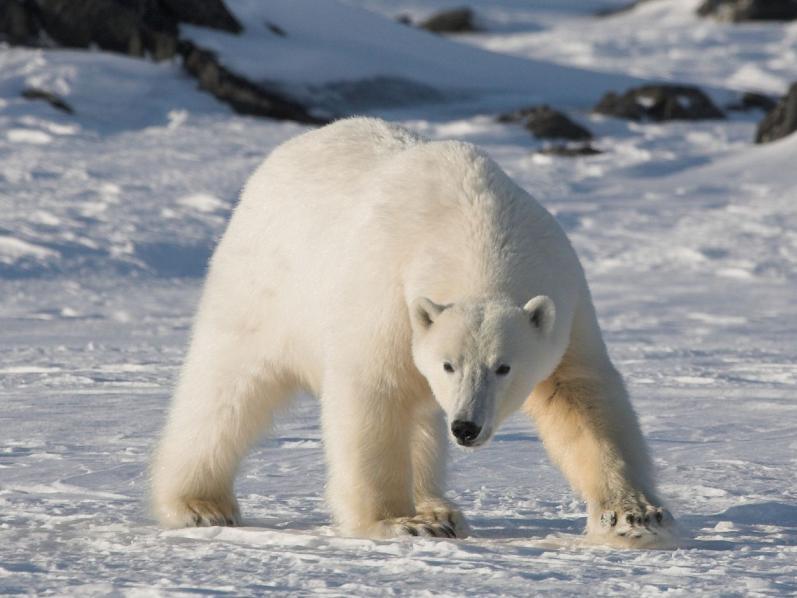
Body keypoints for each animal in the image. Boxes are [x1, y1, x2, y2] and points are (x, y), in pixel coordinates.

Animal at [151, 117, 672, 548]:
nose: (466, 427)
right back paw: (198, 504)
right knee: (228, 387)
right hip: (264, 286)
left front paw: (633, 515)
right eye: (449, 364)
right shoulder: (388, 293)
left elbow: (580, 396)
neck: (477, 226)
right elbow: (375, 393)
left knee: (420, 415)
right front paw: (400, 522)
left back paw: (439, 507)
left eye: (504, 367)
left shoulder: (566, 297)